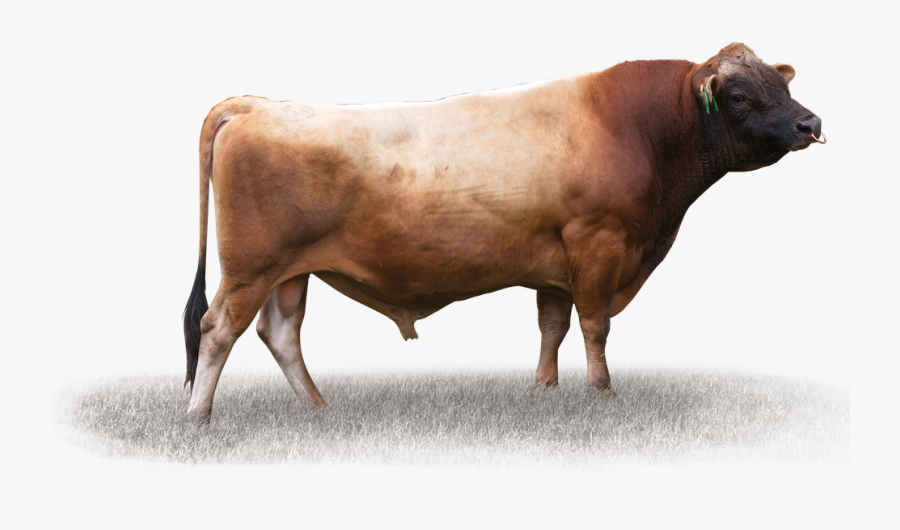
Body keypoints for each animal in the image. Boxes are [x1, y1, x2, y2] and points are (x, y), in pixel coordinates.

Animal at [183, 43, 824, 423]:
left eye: (784, 86)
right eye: (739, 95)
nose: (810, 123)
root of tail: (255, 105)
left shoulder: (556, 259)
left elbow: (552, 325)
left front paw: (545, 390)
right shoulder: (598, 243)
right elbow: (595, 325)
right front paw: (601, 392)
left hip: (291, 271)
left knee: (280, 333)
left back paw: (318, 409)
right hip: (251, 267)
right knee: (218, 329)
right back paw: (198, 417)